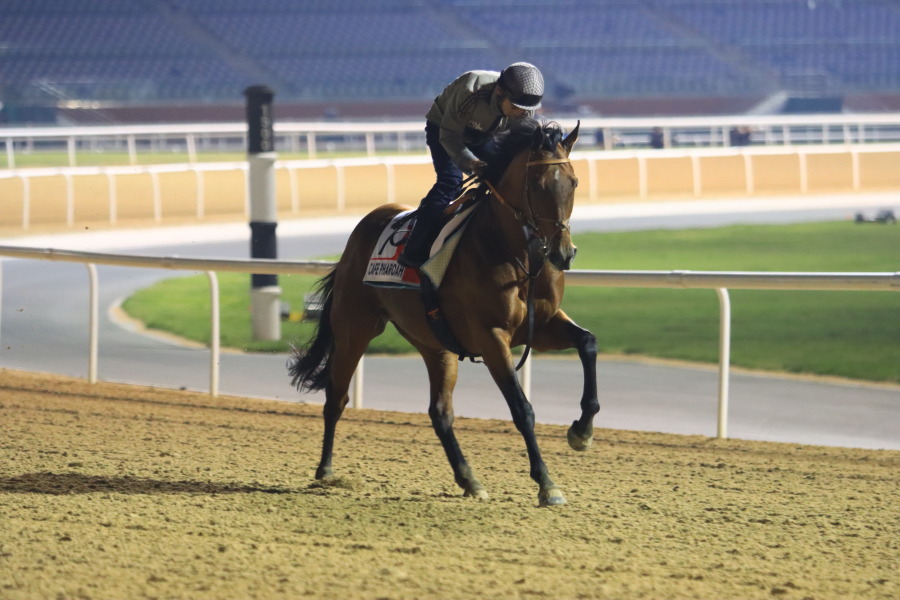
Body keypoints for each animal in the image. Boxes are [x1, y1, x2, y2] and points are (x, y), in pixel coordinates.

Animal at [288, 117, 596, 506]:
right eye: (537, 184)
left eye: (573, 181)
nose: (563, 253)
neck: (518, 255)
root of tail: (362, 229)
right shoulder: (491, 336)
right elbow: (522, 408)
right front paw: (547, 483)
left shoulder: (542, 326)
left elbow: (588, 343)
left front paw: (581, 431)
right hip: (354, 329)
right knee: (336, 398)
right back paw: (326, 471)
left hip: (436, 344)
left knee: (440, 413)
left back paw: (469, 479)